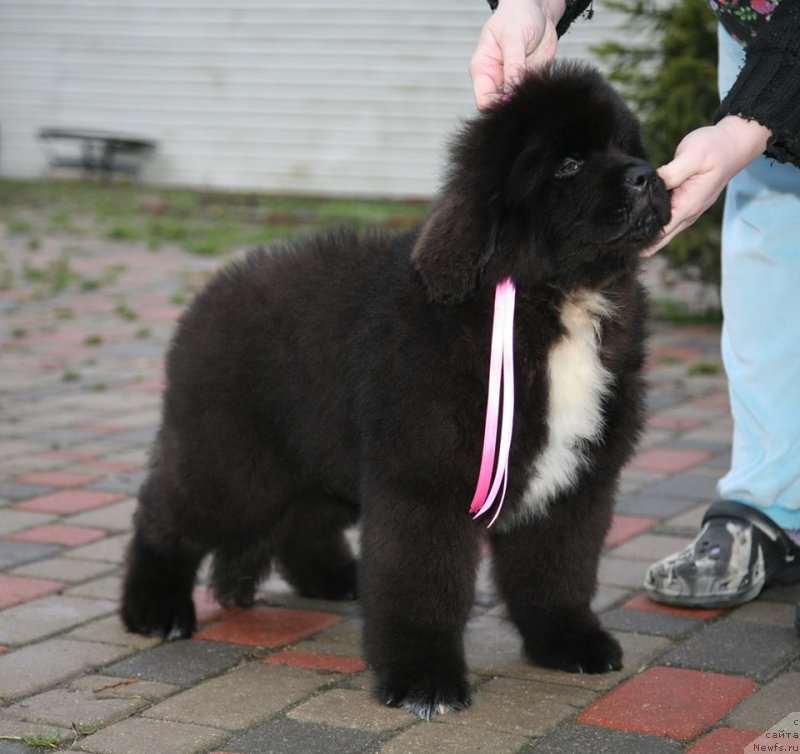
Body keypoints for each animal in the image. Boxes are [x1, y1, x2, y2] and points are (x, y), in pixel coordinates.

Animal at [122, 63, 672, 716]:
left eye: (625, 146)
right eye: (568, 164)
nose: (646, 176)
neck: (554, 299)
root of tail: (206, 296)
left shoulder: (577, 480)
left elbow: (557, 570)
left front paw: (568, 642)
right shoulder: (423, 480)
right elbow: (423, 584)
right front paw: (424, 678)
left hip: (319, 458)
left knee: (304, 517)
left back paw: (335, 579)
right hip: (238, 466)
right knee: (167, 512)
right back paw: (153, 607)